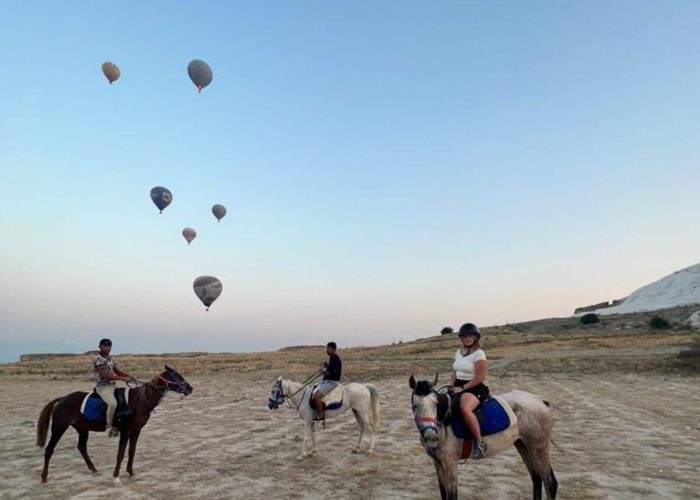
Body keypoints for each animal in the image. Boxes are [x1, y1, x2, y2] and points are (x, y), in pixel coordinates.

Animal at [37, 364, 193, 484]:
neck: (138, 402)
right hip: (59, 428)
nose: (190, 389)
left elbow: (132, 451)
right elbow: (121, 453)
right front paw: (116, 477)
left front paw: (131, 472)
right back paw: (44, 477)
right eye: (176, 376)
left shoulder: (136, 430)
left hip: (82, 429)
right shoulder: (126, 430)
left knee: (81, 447)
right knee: (49, 449)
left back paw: (94, 470)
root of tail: (62, 399)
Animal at [410, 376, 556, 500]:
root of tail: (540, 401)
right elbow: (443, 494)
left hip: (538, 447)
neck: (445, 422)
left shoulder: (450, 463)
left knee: (549, 483)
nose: (431, 437)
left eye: (436, 404)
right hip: (523, 445)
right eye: (415, 405)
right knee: (536, 478)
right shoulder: (437, 462)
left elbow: (452, 496)